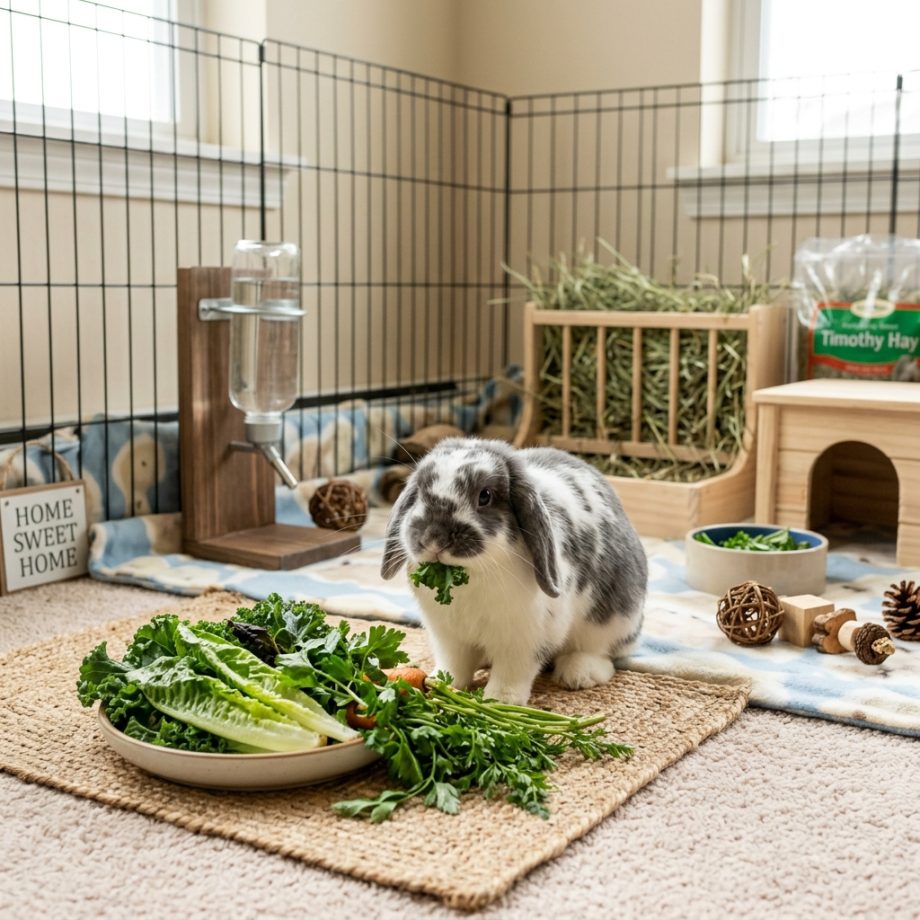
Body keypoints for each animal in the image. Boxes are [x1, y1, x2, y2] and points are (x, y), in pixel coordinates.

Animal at [380, 437, 647, 705]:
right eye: (419, 492)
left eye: (485, 496)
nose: (434, 539)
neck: (472, 574)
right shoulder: (448, 637)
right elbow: (454, 665)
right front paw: (439, 683)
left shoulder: (523, 639)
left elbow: (512, 672)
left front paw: (499, 701)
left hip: (612, 620)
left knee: (603, 652)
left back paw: (578, 674)